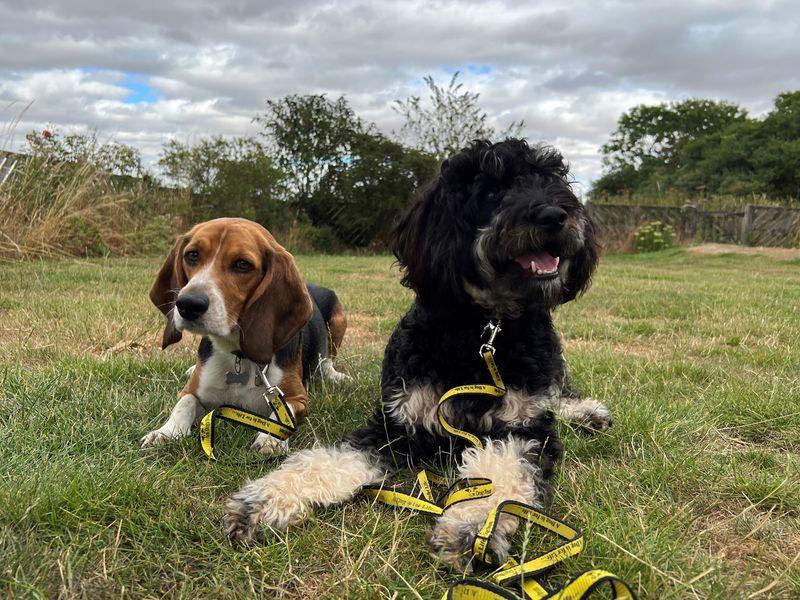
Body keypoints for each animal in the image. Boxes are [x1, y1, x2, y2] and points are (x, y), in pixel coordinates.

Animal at [222, 138, 608, 568]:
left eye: (552, 181)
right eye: (492, 190)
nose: (555, 214)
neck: (480, 333)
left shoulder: (524, 432)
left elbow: (502, 474)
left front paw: (472, 527)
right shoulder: (394, 426)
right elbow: (324, 460)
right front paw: (263, 501)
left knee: (559, 395)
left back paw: (588, 412)